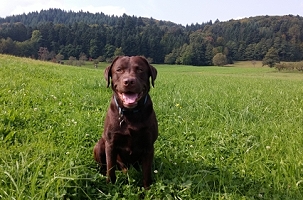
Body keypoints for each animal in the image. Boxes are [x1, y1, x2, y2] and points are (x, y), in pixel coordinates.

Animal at [94, 55, 158, 189]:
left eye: (140, 69)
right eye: (119, 70)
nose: (129, 81)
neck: (130, 113)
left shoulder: (148, 146)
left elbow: (146, 173)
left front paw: (147, 189)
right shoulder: (110, 144)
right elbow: (110, 168)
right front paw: (110, 185)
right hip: (100, 144)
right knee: (105, 166)